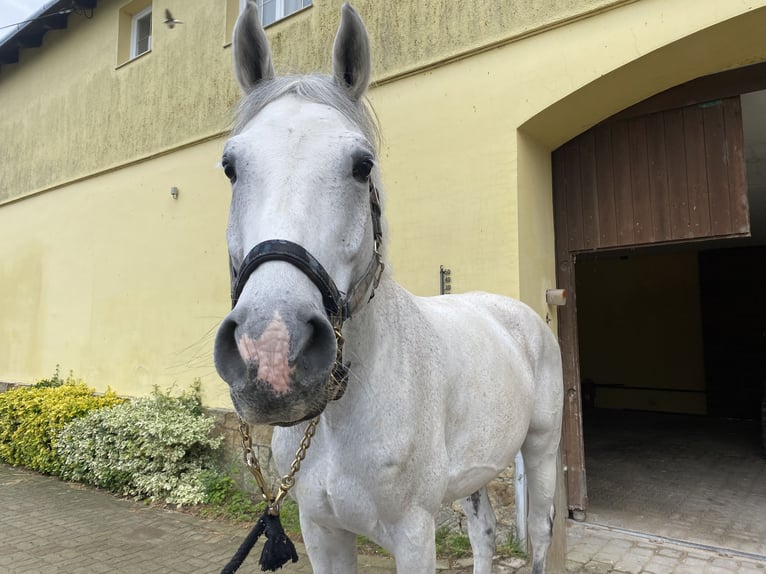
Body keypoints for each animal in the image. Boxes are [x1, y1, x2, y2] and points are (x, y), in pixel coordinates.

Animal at [214, 2, 564, 572]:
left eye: (362, 166)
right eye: (230, 167)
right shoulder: (321, 532)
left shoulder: (413, 534)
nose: (271, 351)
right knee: (485, 533)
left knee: (537, 535)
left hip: (541, 449)